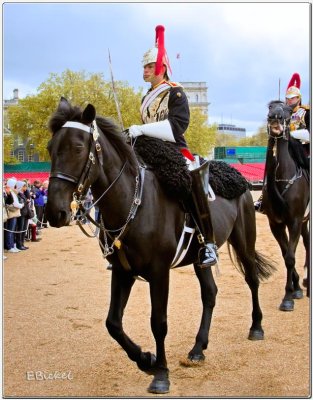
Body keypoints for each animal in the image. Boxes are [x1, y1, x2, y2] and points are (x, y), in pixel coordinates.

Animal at [45, 97, 274, 394]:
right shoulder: (123, 271)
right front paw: (146, 359)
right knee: (210, 293)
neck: (133, 201)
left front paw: (162, 374)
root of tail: (236, 174)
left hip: (244, 240)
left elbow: (158, 322)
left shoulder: (159, 272)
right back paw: (198, 349)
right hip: (199, 258)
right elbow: (113, 322)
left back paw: (256, 327)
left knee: (252, 279)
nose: (54, 212)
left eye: (78, 147)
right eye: (50, 148)